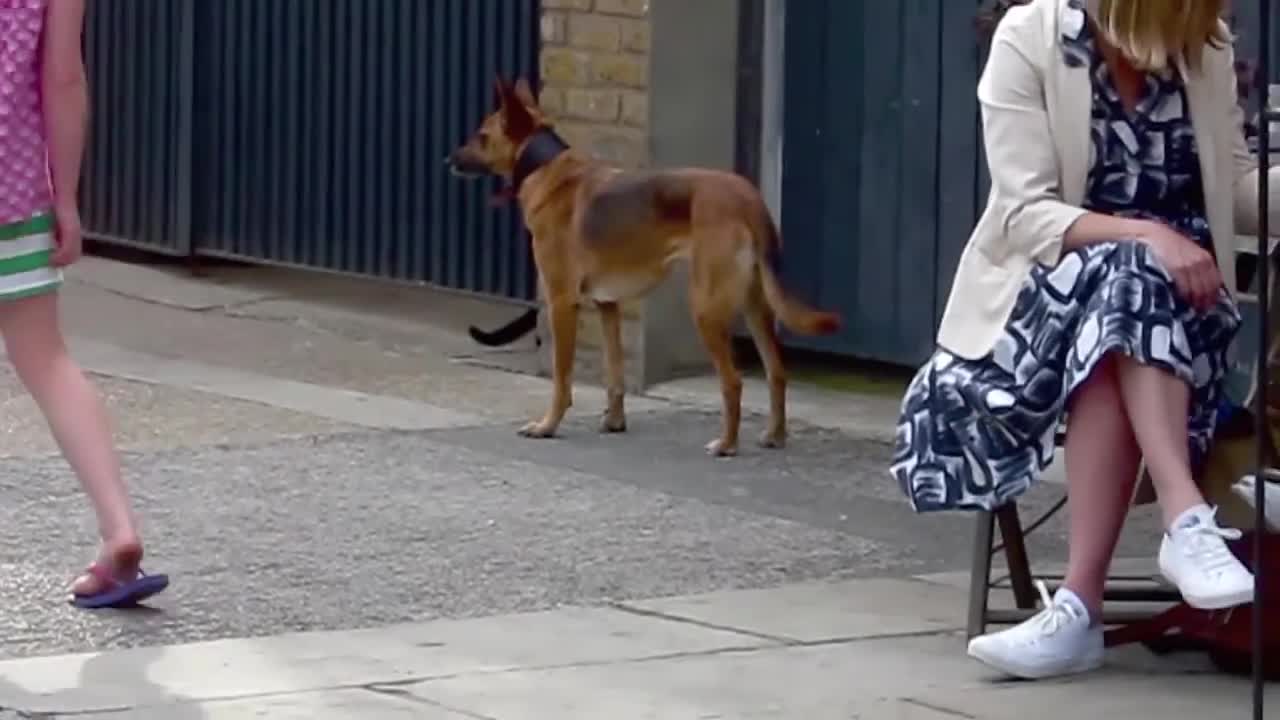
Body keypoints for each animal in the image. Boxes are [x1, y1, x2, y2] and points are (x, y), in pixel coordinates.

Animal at [450, 77, 839, 453]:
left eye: (482, 136)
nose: (447, 160)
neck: (545, 168)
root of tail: (749, 198)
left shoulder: (562, 303)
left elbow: (562, 378)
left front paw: (548, 425)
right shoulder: (608, 305)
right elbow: (615, 373)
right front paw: (614, 421)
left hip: (707, 309)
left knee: (733, 381)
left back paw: (727, 444)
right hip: (756, 307)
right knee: (777, 372)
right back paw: (775, 435)